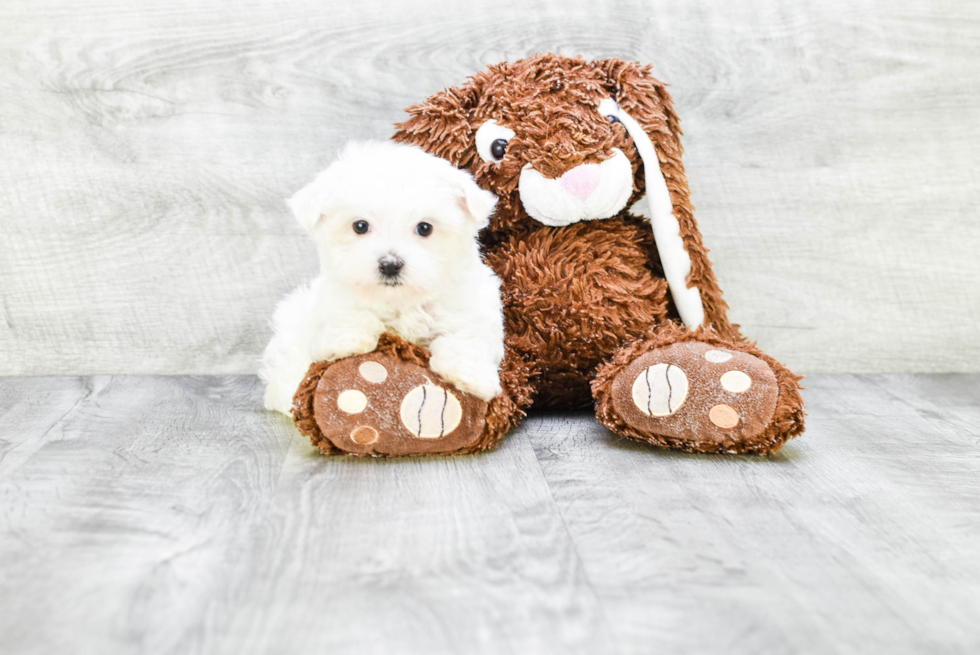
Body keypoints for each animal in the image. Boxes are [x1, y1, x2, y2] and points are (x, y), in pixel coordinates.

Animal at [260, 141, 506, 416]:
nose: (390, 265)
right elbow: (348, 314)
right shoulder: (334, 297)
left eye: (424, 228)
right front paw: (348, 342)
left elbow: (467, 336)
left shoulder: (472, 305)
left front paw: (470, 377)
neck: (400, 301)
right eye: (360, 226)